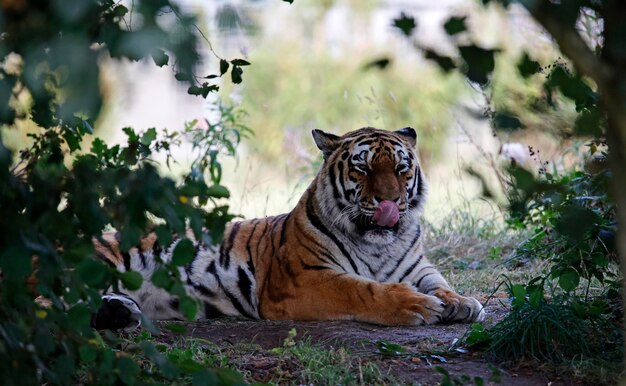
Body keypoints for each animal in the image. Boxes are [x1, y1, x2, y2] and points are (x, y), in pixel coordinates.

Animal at [91, 127, 482, 332]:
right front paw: (417, 305)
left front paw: (461, 303)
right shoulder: (304, 278)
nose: (389, 201)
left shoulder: (419, 268)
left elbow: (441, 285)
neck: (379, 244)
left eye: (401, 169)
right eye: (363, 169)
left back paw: (120, 313)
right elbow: (362, 289)